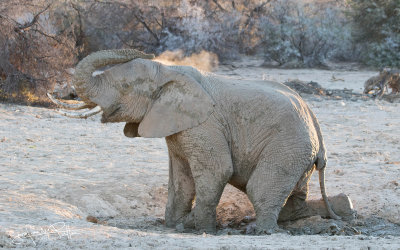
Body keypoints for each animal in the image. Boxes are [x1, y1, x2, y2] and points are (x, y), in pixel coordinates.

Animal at [49, 49, 340, 234]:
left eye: (124, 88)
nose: (145, 51)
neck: (169, 72)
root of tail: (316, 125)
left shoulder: (205, 125)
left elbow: (217, 171)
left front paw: (201, 229)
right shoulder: (178, 128)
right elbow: (180, 180)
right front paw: (173, 226)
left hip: (288, 146)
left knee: (260, 188)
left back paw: (265, 231)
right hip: (298, 151)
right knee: (295, 196)